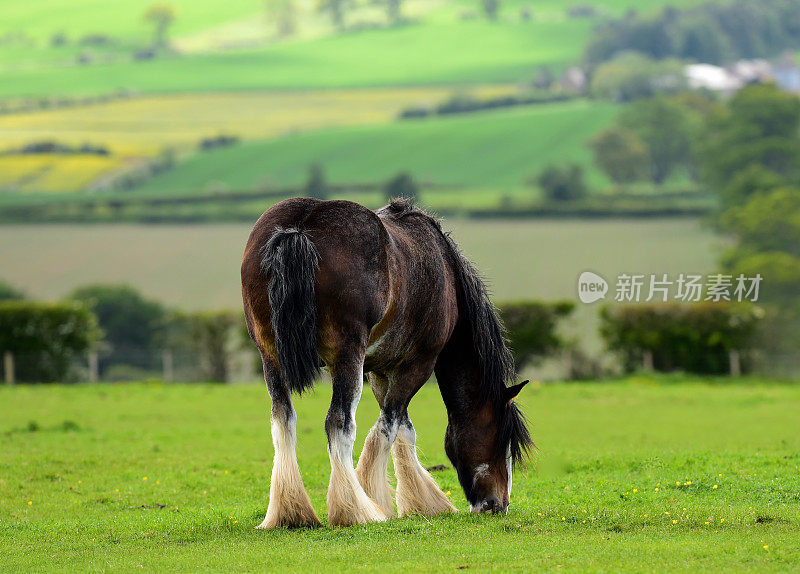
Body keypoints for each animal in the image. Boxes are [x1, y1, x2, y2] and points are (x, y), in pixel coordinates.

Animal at [241, 199, 536, 532]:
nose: (497, 505)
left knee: (283, 420)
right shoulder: (417, 364)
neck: (444, 269)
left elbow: (402, 427)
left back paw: (290, 513)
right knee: (339, 423)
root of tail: (299, 228)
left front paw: (421, 501)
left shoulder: (381, 371)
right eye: (502, 439)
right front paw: (382, 501)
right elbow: (390, 426)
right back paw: (353, 510)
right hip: (347, 358)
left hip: (271, 357)